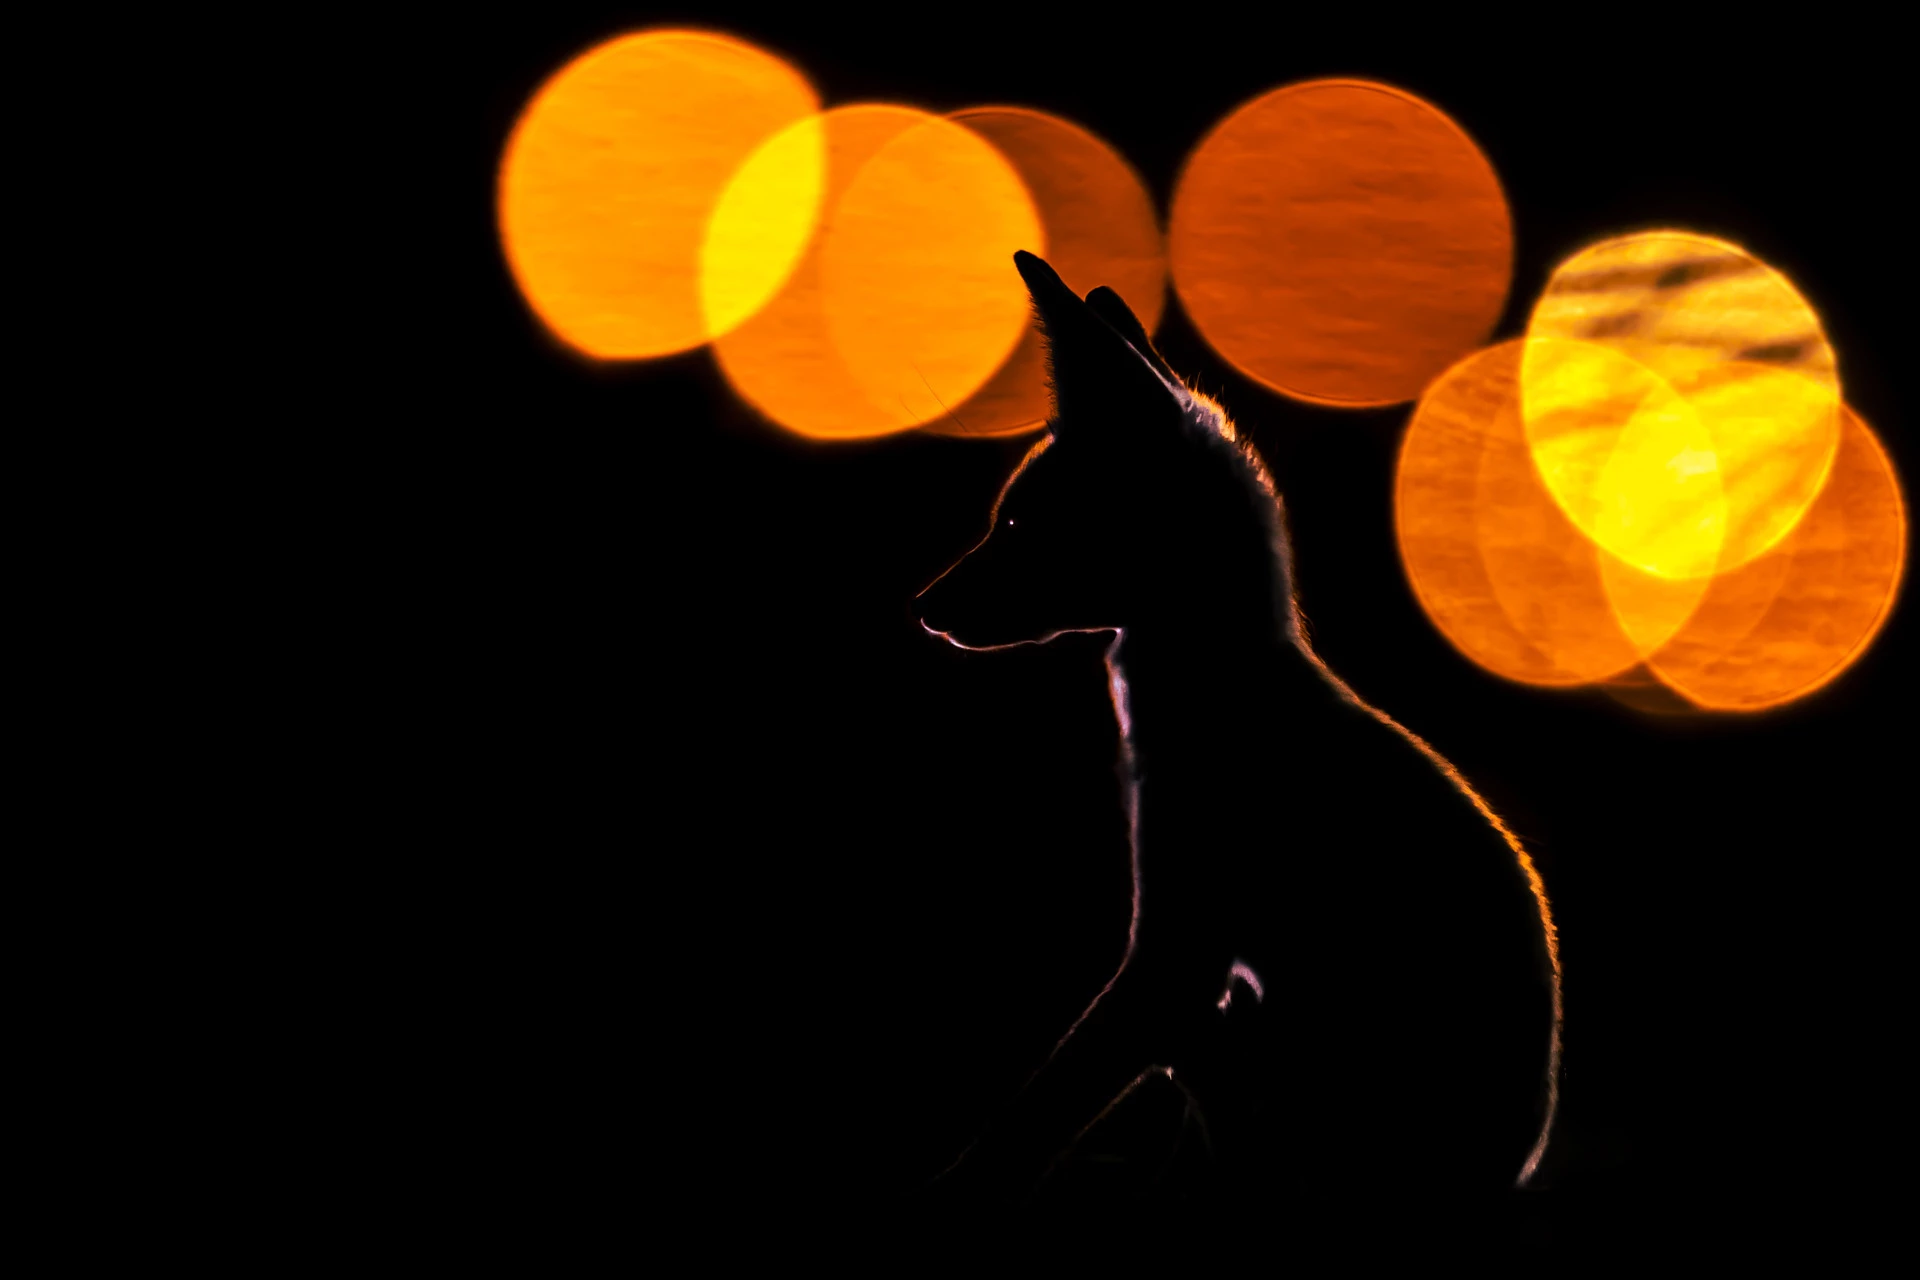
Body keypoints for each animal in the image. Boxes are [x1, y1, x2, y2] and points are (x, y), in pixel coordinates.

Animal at [915, 251, 1561, 1203]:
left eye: (1018, 523)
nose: (923, 608)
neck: (1219, 689)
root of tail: (1501, 1178)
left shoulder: (1174, 954)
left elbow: (1033, 1119)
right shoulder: (1184, 971)